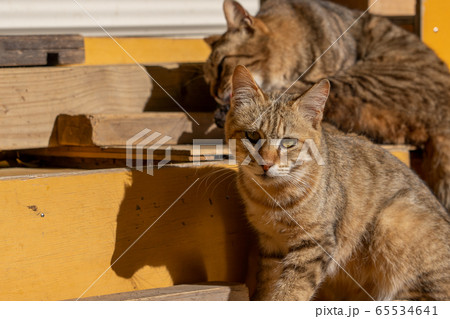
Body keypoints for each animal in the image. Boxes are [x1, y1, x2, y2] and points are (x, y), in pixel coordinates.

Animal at [229, 65, 450, 302]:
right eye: (252, 135)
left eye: (288, 142)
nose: (266, 164)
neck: (271, 198)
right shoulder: (271, 245)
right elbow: (267, 288)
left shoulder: (315, 244)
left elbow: (291, 292)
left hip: (393, 221)